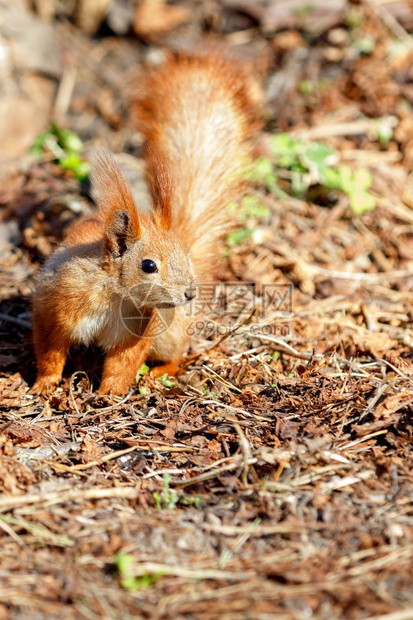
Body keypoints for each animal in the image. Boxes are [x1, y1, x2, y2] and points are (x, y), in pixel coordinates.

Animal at [32, 52, 256, 392]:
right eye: (148, 266)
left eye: (185, 258)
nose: (190, 293)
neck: (114, 295)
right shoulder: (55, 306)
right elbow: (50, 351)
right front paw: (43, 385)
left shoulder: (138, 329)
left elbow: (124, 363)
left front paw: (109, 394)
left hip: (170, 332)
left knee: (176, 355)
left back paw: (159, 373)